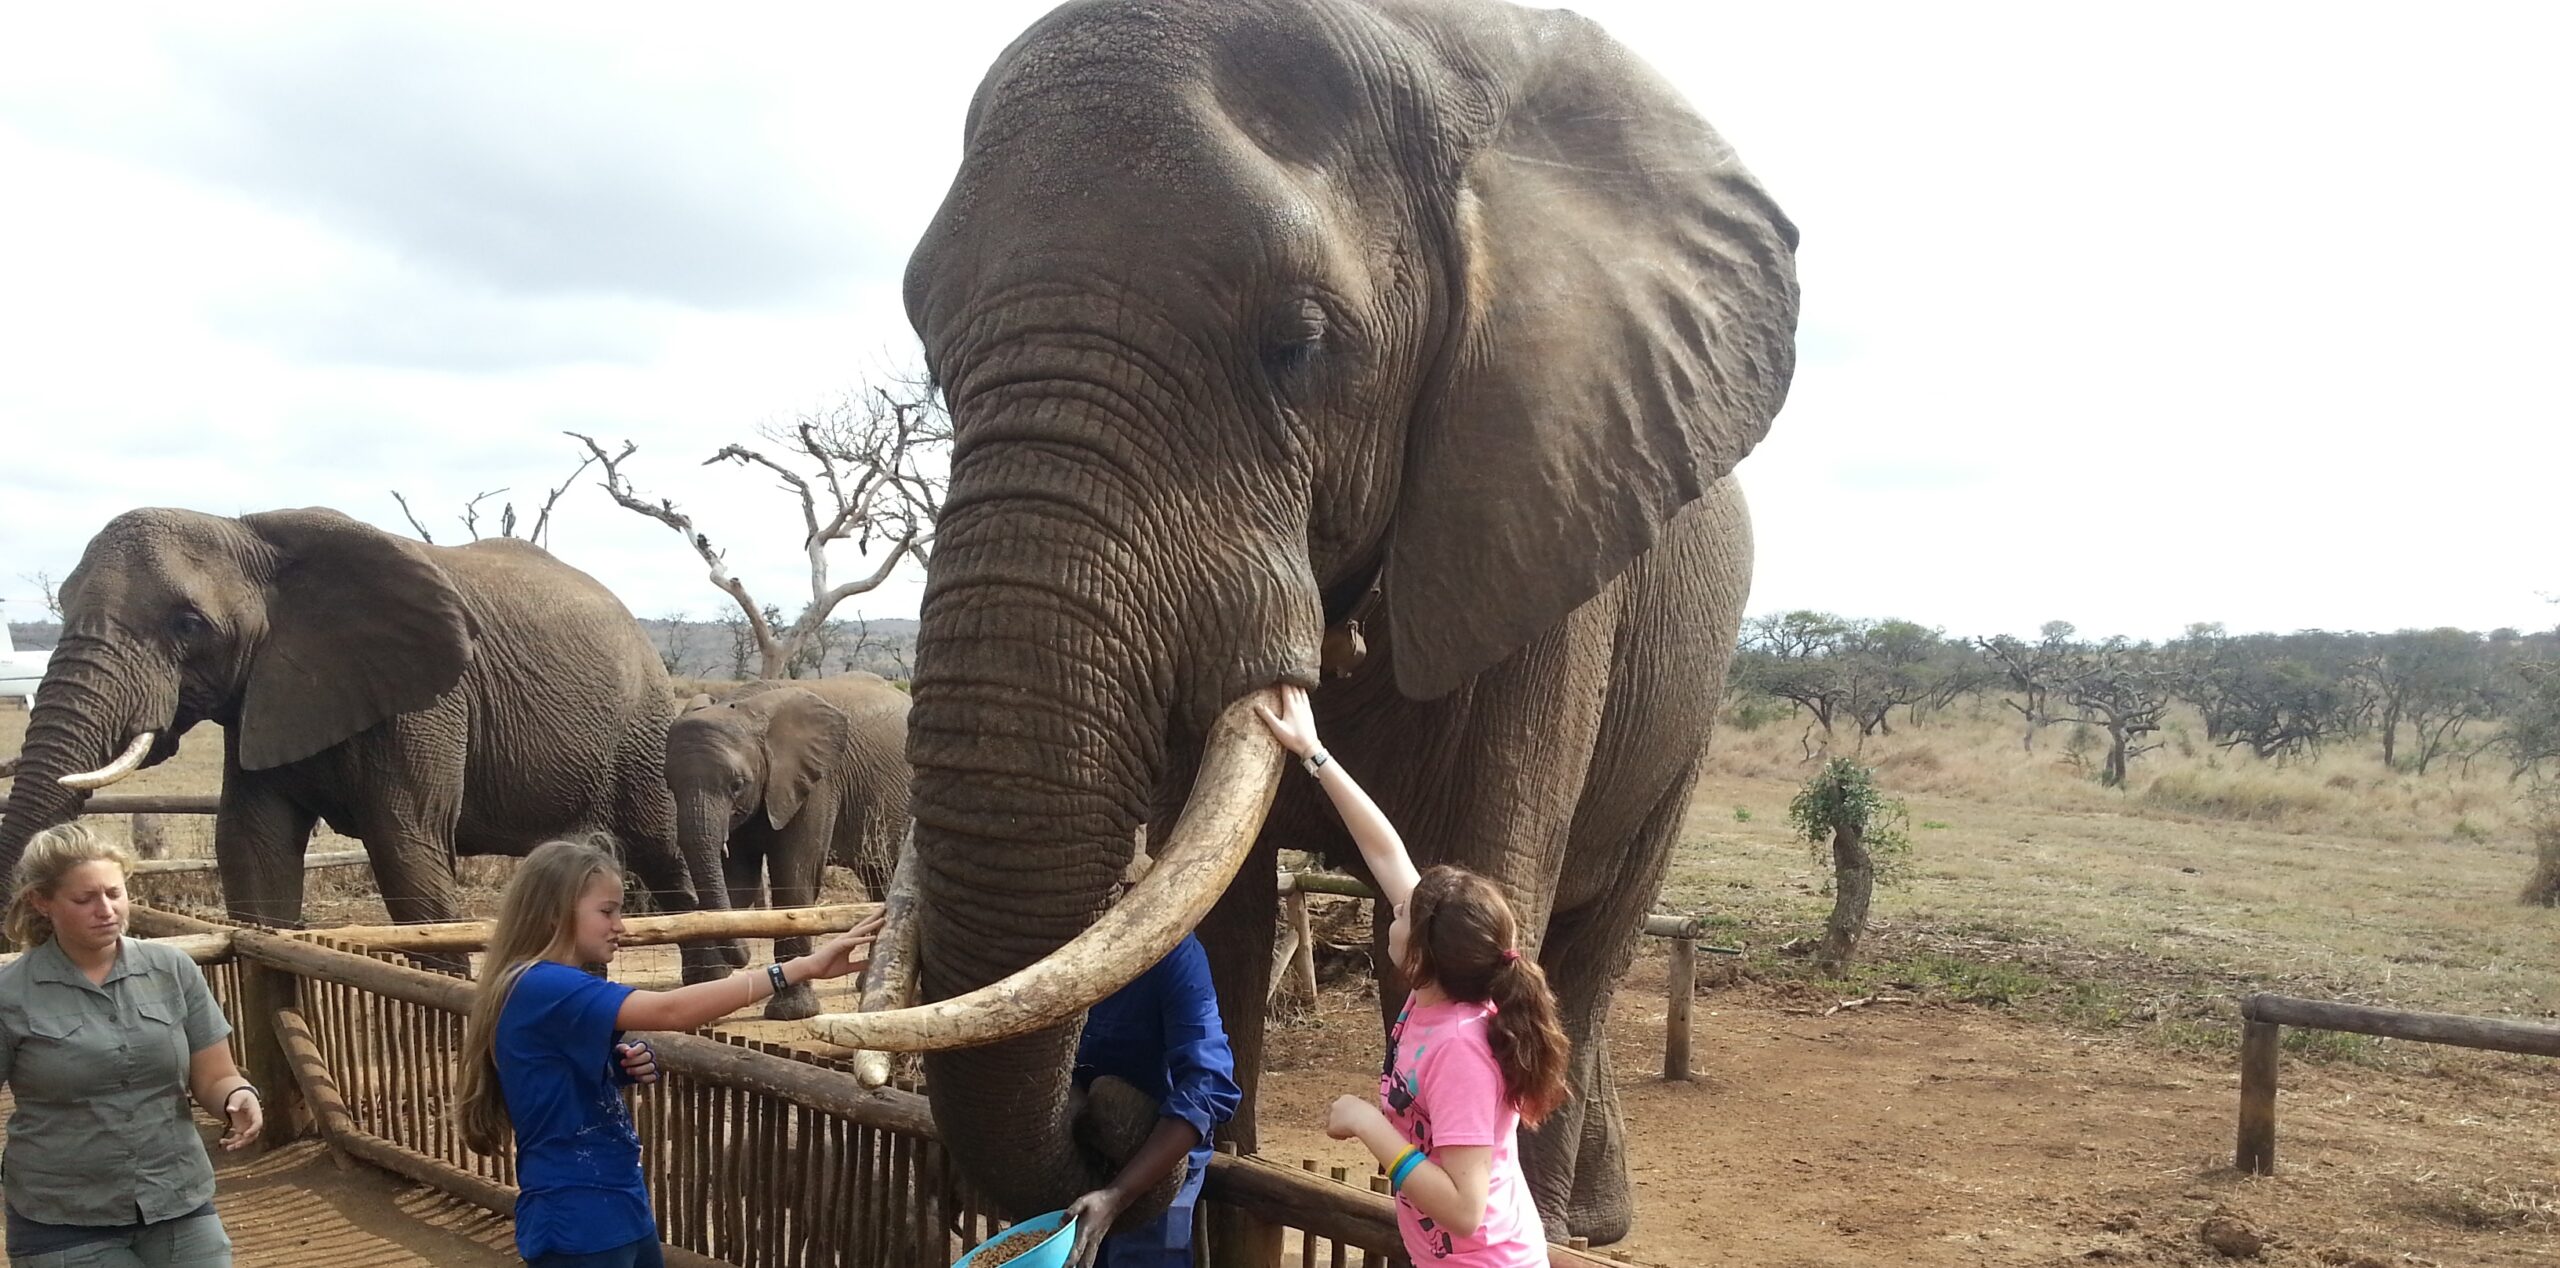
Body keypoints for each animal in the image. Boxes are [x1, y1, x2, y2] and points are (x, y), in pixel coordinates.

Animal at [0, 507, 738, 977]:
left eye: (188, 624)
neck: (250, 535)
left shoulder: (429, 701)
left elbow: (405, 844)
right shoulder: (262, 696)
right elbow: (250, 844)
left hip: (640, 724)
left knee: (659, 846)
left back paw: (711, 977)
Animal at [665, 674, 910, 1020]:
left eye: (737, 785)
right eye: (669, 784)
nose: (741, 958)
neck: (748, 710)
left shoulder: (817, 783)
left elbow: (794, 875)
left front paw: (793, 1012)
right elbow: (737, 880)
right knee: (880, 879)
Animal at [799, 0, 1797, 1249]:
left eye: (1299, 343)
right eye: (930, 347)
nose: (1103, 1112)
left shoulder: (1545, 519)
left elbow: (1468, 897)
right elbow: (1216, 923)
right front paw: (1217, 1156)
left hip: (1693, 701)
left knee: (1594, 940)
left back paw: (1573, 1222)